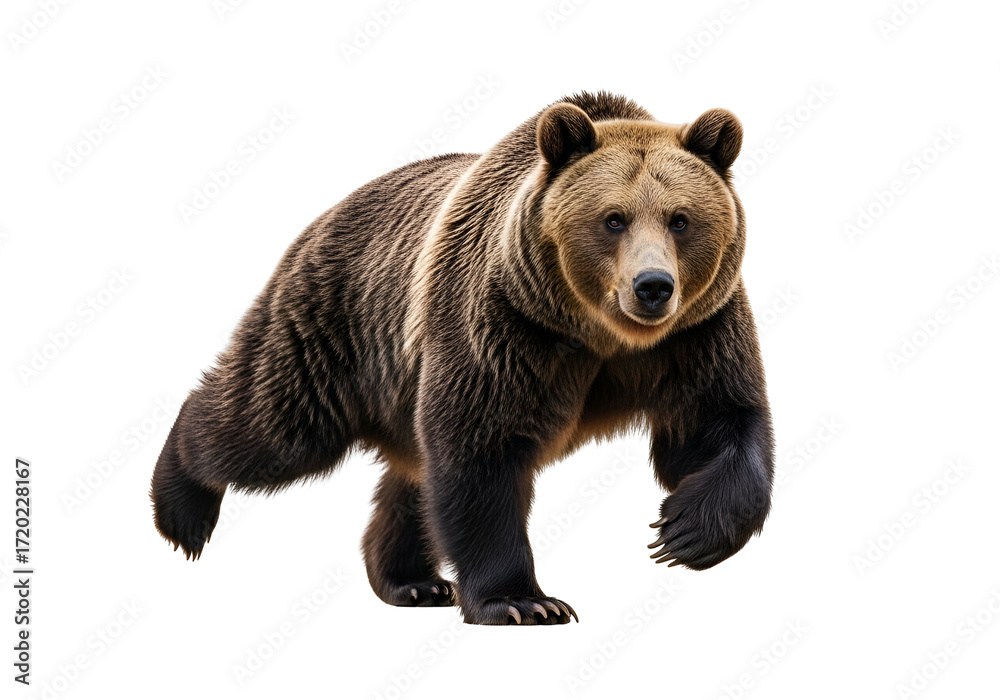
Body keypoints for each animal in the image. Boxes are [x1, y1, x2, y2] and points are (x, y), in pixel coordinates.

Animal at [150, 91, 774, 626]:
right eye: (613, 218)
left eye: (681, 218)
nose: (653, 287)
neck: (598, 334)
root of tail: (330, 211)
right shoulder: (504, 323)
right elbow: (478, 450)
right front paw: (523, 601)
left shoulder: (695, 334)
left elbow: (718, 422)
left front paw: (683, 532)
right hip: (336, 323)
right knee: (274, 423)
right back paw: (182, 510)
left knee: (411, 474)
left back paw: (411, 580)